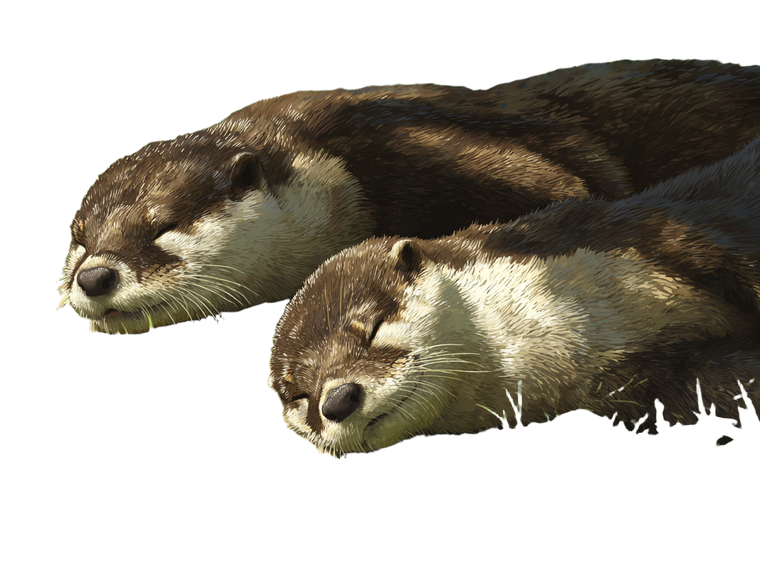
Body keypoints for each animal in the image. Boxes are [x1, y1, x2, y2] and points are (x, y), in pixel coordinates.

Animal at [53, 56, 760, 337]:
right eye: (79, 241)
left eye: (161, 225)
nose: (94, 276)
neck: (333, 169)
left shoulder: (415, 147)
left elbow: (581, 191)